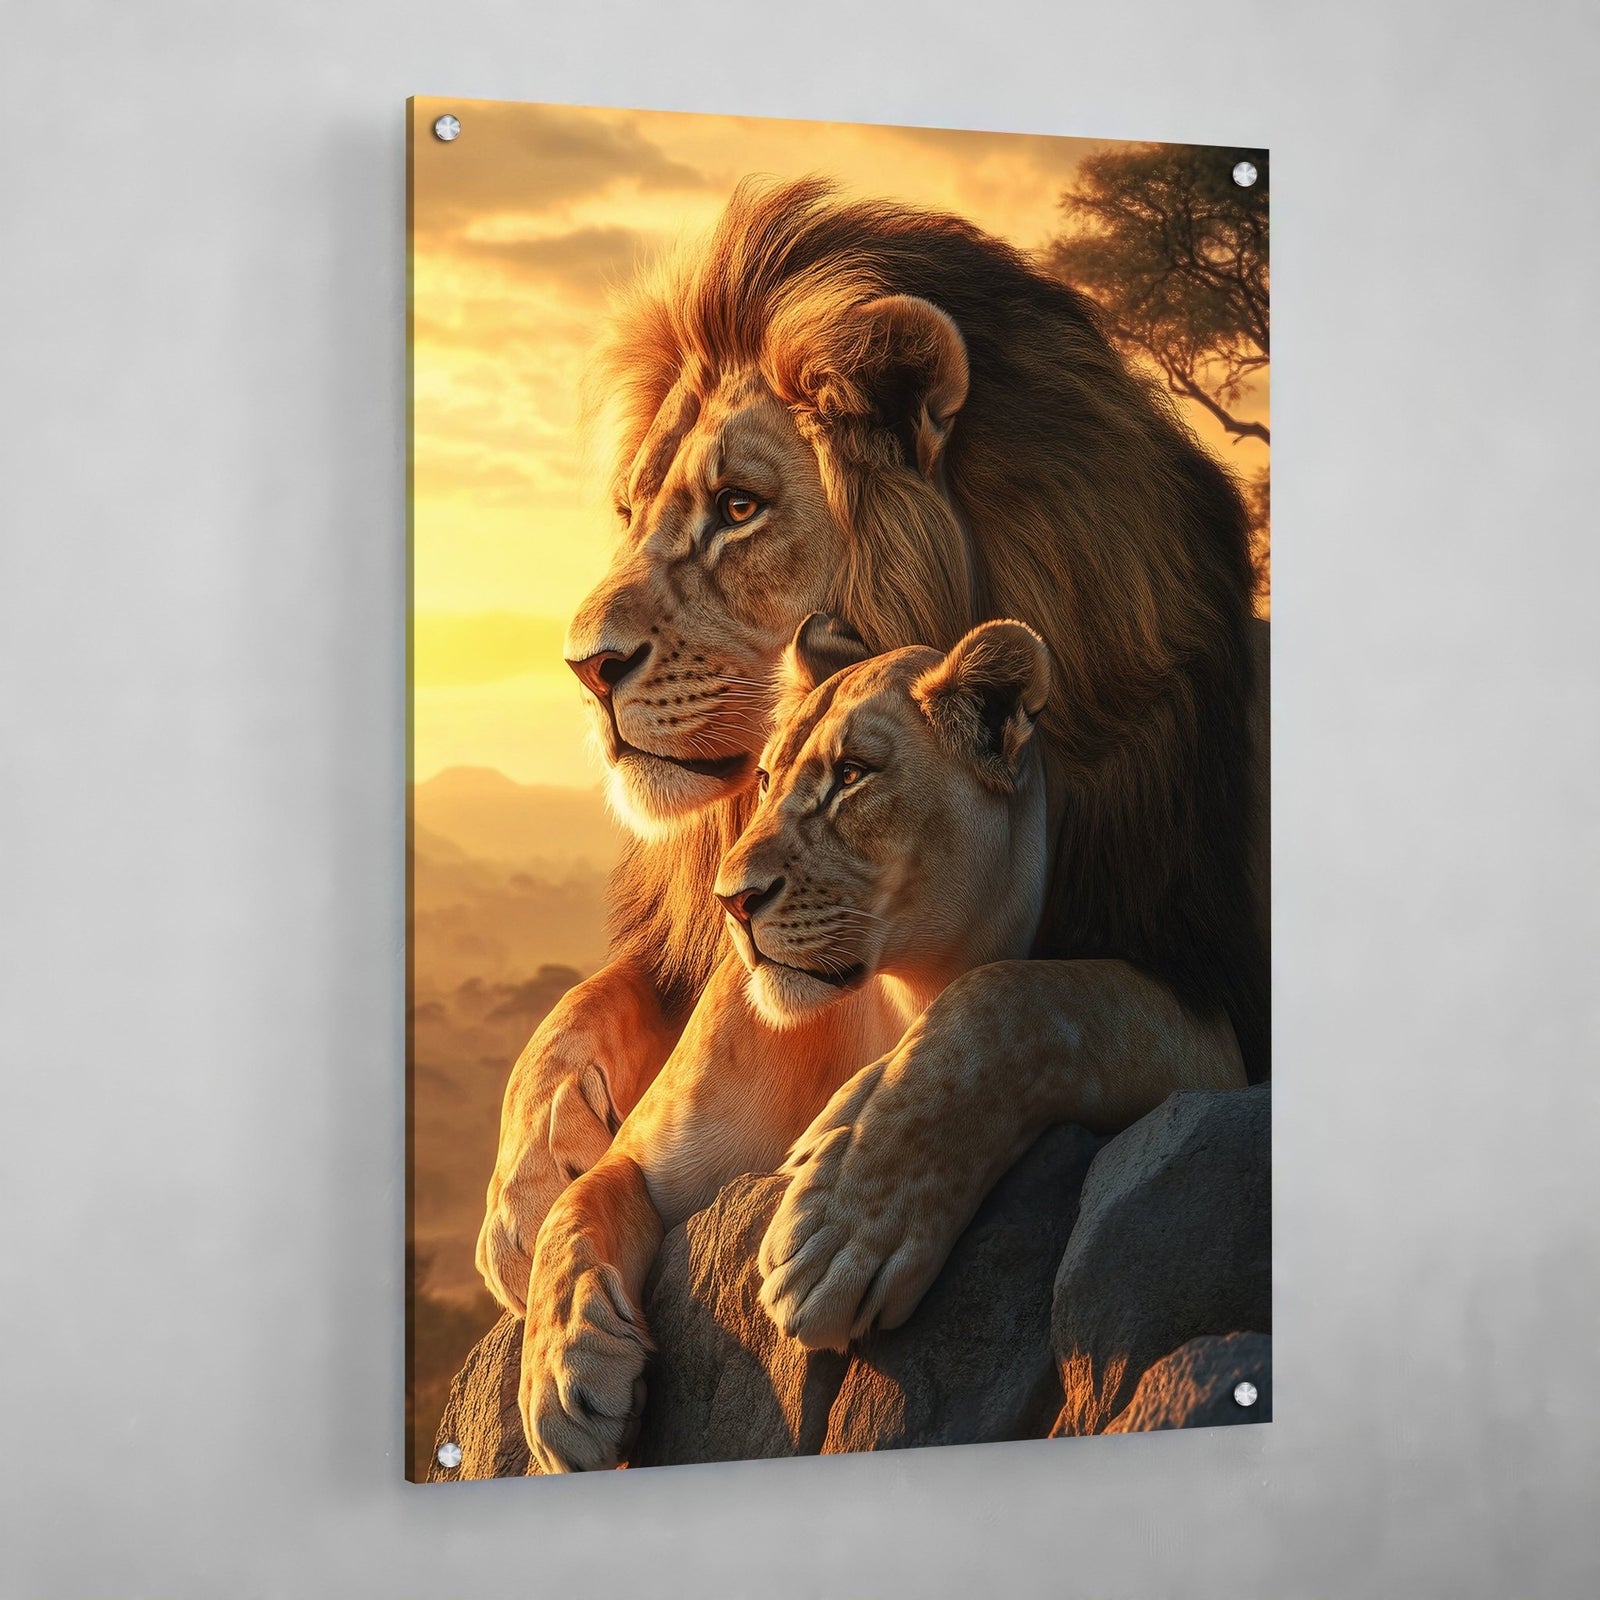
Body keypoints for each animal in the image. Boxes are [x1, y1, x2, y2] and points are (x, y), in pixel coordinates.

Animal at [477, 176, 1267, 1320]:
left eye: (739, 507)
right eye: (630, 511)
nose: (584, 665)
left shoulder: (1204, 981)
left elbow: (1020, 1000)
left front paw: (853, 1204)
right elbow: (589, 1001)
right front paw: (525, 1194)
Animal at [518, 617, 1244, 1471]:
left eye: (853, 775)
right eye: (764, 779)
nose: (730, 901)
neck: (894, 999)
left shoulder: (1208, 1032)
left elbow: (1011, 999)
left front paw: (840, 1228)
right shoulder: (652, 1159)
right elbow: (575, 1205)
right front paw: (563, 1378)